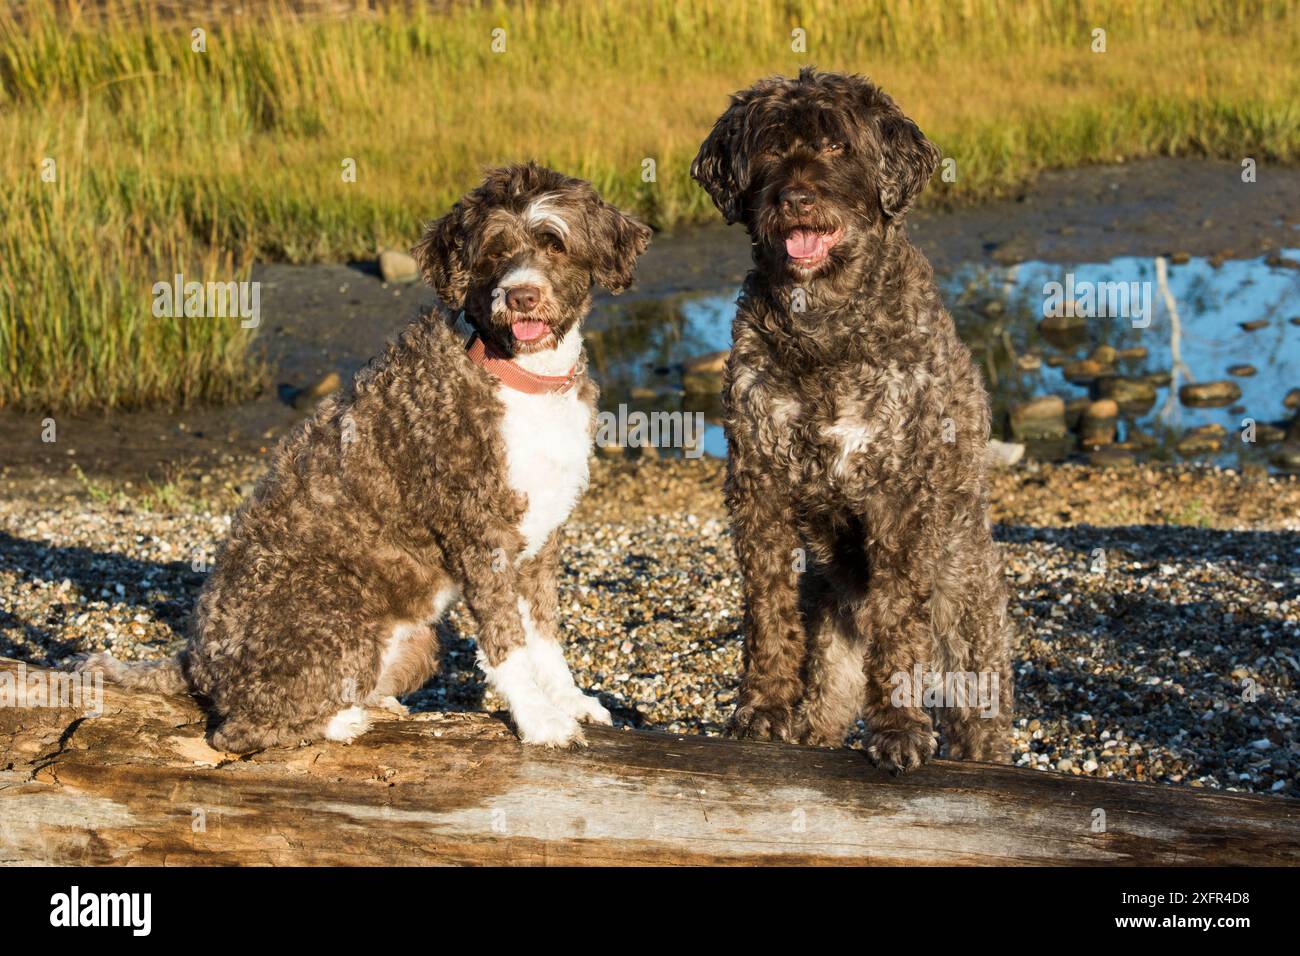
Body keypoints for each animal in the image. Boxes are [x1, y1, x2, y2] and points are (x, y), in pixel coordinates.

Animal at [83, 162, 650, 754]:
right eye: (494, 251)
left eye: (554, 244)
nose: (520, 296)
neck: (518, 374)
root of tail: (194, 658)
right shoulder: (480, 535)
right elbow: (506, 642)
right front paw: (539, 720)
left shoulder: (539, 538)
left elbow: (544, 634)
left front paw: (570, 701)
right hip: (335, 620)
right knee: (237, 730)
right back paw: (341, 722)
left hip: (418, 643)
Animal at [696, 69, 1008, 770]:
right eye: (770, 149)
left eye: (838, 146)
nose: (796, 198)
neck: (823, 326)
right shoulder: (759, 485)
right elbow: (767, 609)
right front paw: (762, 707)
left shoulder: (900, 495)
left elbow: (898, 622)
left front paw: (898, 727)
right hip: (831, 636)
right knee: (825, 705)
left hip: (965, 611)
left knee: (976, 709)